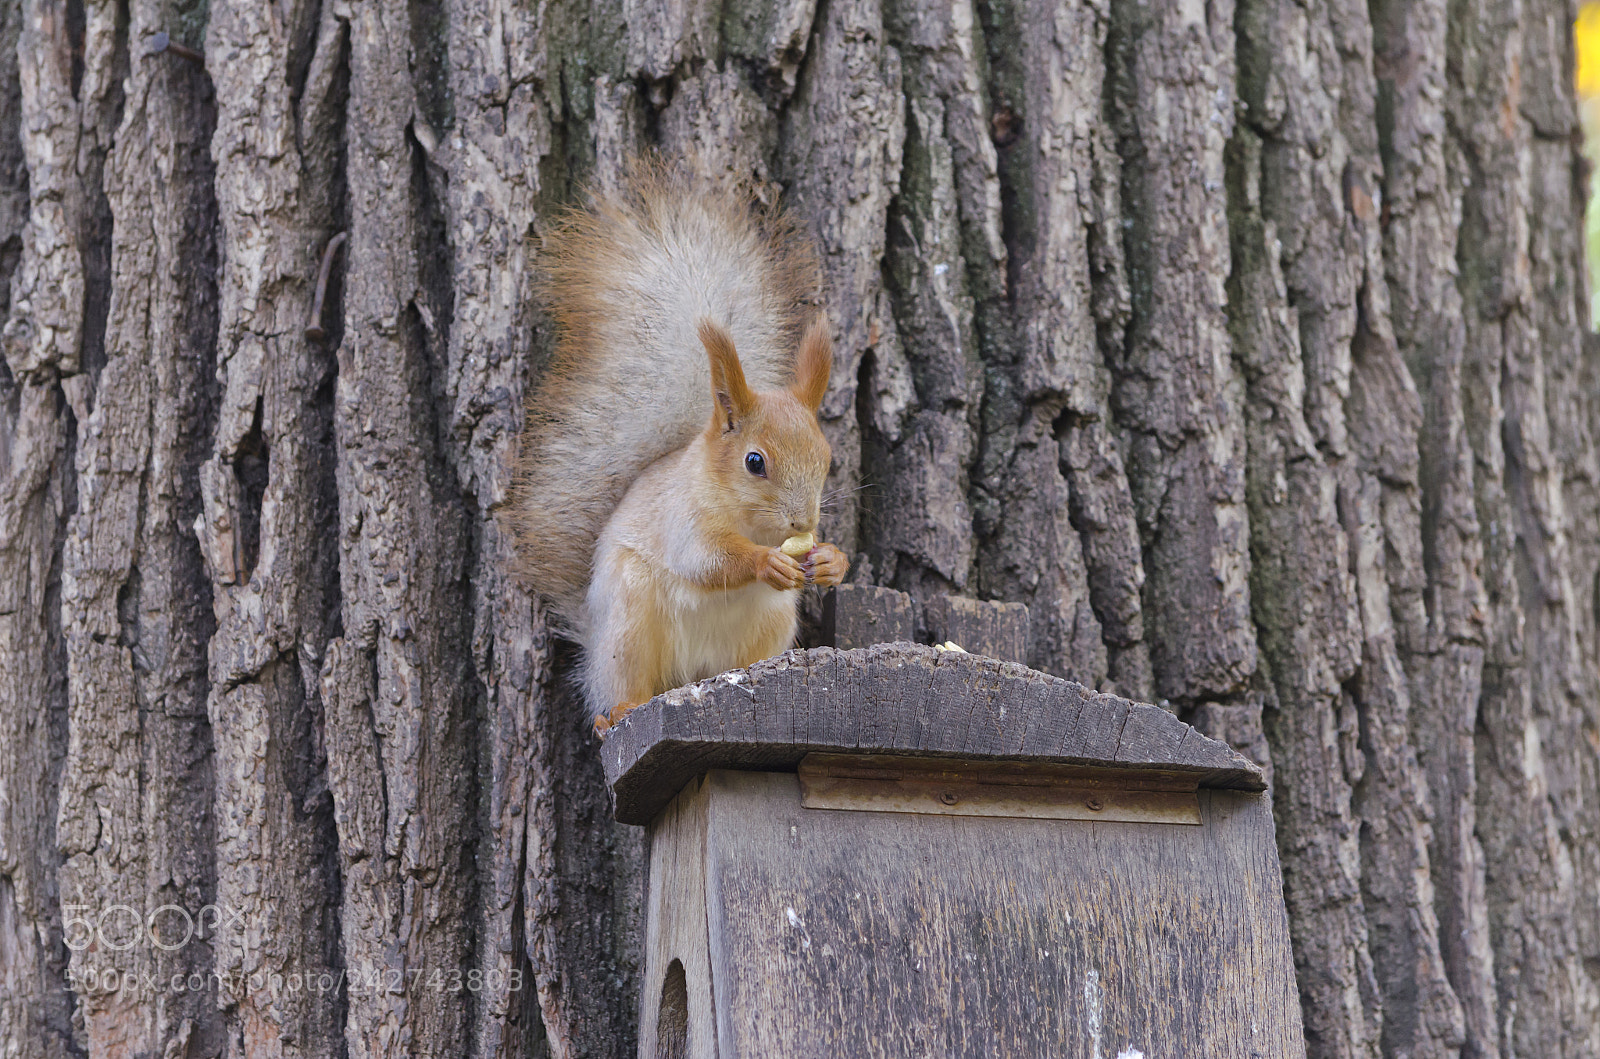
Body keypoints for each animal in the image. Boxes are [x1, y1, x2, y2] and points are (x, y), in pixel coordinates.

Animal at [509, 164, 849, 732]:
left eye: (827, 459)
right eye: (754, 462)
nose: (803, 523)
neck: (750, 521)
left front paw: (830, 560)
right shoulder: (682, 517)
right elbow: (706, 560)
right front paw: (765, 563)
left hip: (770, 625)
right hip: (629, 620)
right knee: (626, 683)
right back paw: (620, 710)